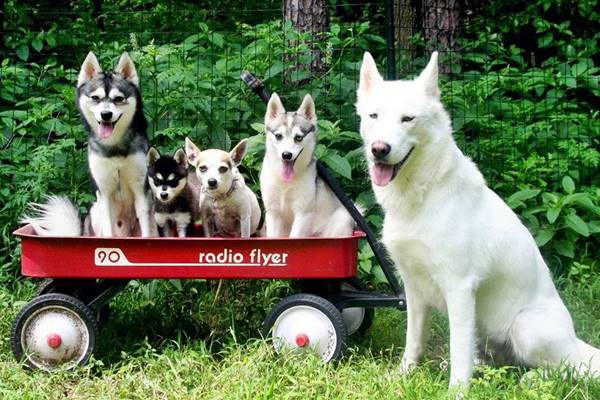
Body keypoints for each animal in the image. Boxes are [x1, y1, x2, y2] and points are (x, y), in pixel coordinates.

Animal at [77, 51, 155, 236]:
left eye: (118, 99)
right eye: (96, 98)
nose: (106, 114)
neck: (115, 149)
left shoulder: (141, 190)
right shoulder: (105, 194)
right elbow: (108, 228)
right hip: (95, 210)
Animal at [260, 93, 354, 238]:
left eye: (298, 137)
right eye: (278, 136)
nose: (286, 155)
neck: (285, 183)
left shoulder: (302, 213)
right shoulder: (272, 212)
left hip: (343, 217)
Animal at [356, 51, 600, 386]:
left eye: (408, 119)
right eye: (374, 116)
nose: (379, 149)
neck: (423, 195)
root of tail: (575, 342)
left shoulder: (459, 288)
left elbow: (459, 349)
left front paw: (457, 390)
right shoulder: (414, 288)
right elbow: (413, 341)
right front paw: (402, 375)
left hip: (525, 326)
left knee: (566, 369)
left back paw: (533, 379)